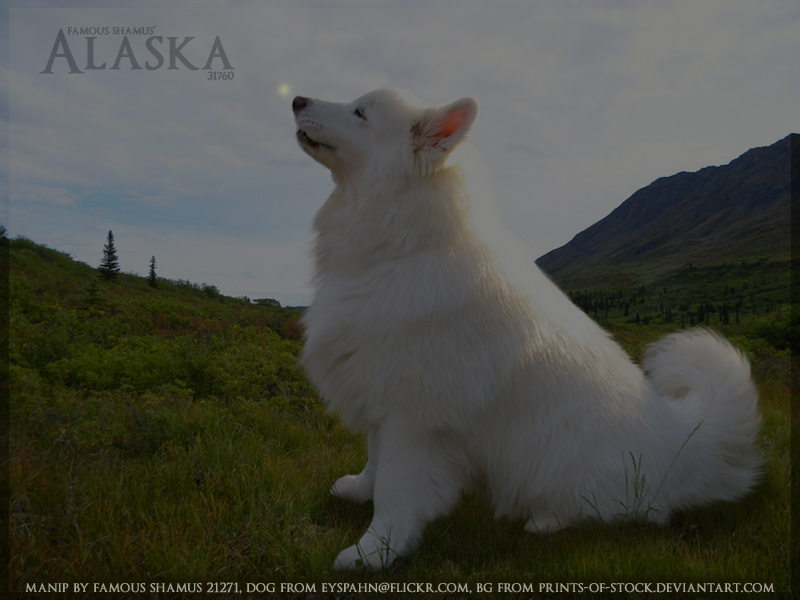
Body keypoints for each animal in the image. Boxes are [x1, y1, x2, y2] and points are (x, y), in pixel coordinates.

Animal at [290, 89, 760, 572]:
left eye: (361, 112)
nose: (296, 99)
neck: (404, 251)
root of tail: (677, 442)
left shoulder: (413, 419)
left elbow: (394, 491)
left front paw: (374, 551)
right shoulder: (380, 400)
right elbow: (375, 462)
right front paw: (358, 492)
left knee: (619, 513)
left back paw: (545, 520)